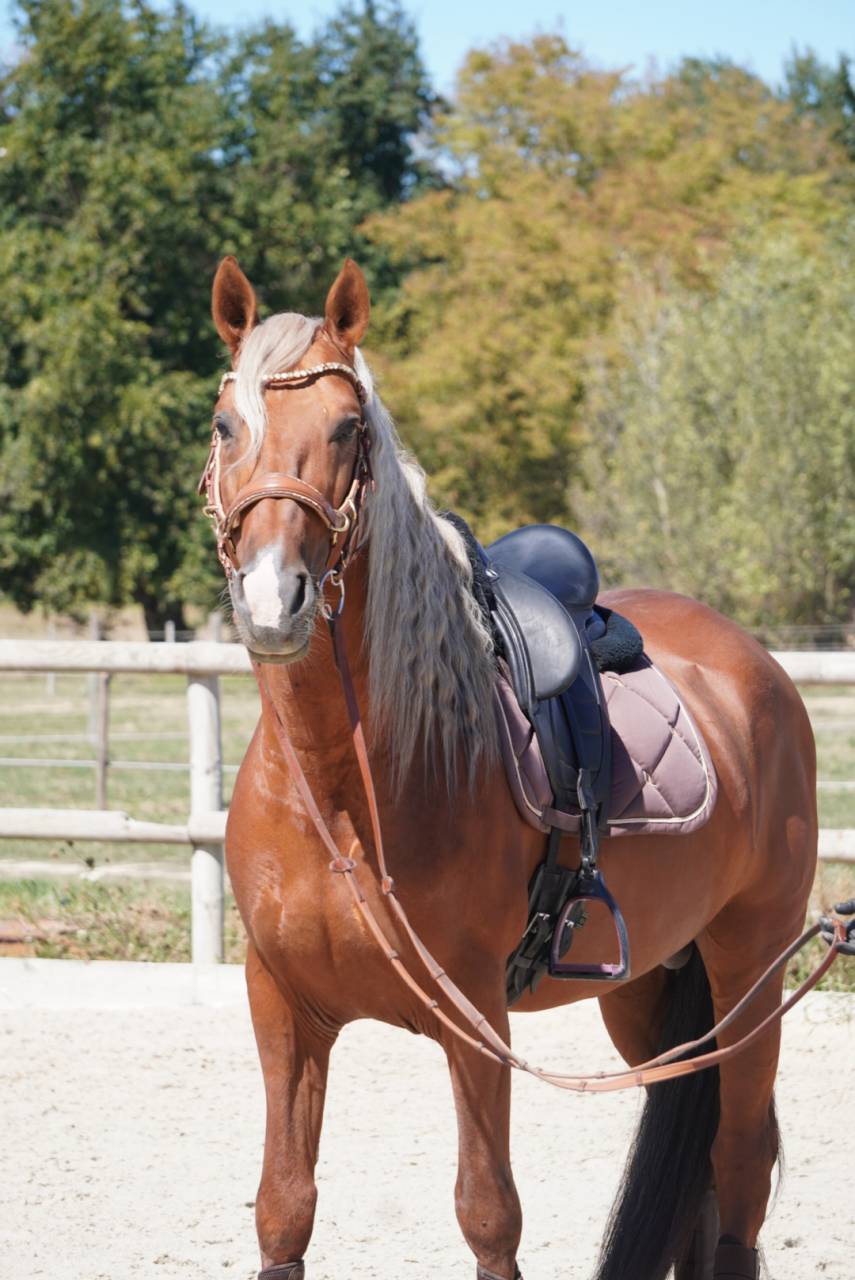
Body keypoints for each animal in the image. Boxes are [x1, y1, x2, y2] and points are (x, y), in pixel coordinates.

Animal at [203, 254, 817, 1280]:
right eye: (225, 424)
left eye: (347, 428)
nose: (271, 598)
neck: (343, 796)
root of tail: (754, 666)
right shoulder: (283, 1007)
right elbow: (283, 1210)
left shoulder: (476, 1018)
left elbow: (488, 1215)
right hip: (651, 992)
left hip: (749, 968)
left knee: (739, 1159)